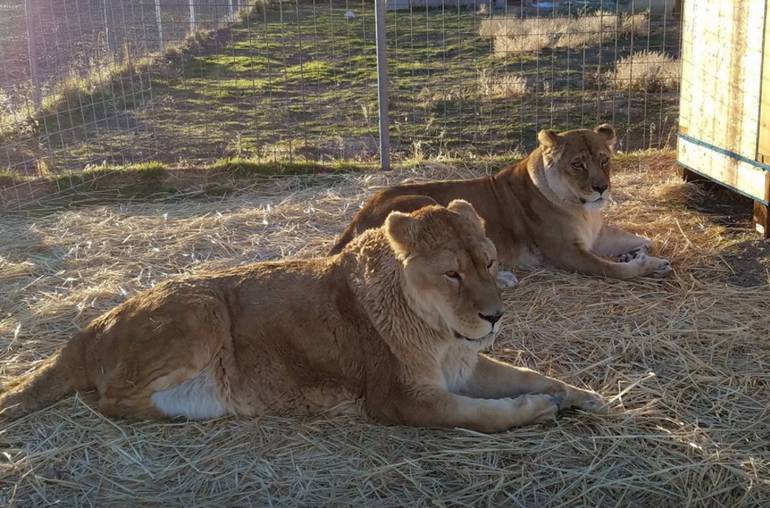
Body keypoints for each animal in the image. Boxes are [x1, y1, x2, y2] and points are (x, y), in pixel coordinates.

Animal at [0, 200, 604, 430]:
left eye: (490, 261)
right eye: (452, 274)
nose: (495, 317)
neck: (439, 333)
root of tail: (83, 331)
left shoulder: (465, 366)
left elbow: (526, 373)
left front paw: (583, 395)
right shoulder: (399, 399)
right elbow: (481, 415)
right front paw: (537, 410)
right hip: (201, 308)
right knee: (109, 402)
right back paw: (203, 406)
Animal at [328, 124, 668, 282]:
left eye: (604, 159)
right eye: (577, 164)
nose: (601, 188)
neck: (582, 209)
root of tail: (355, 219)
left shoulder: (594, 237)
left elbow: (644, 239)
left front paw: (634, 253)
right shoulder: (566, 253)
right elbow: (615, 270)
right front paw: (646, 264)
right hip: (424, 199)